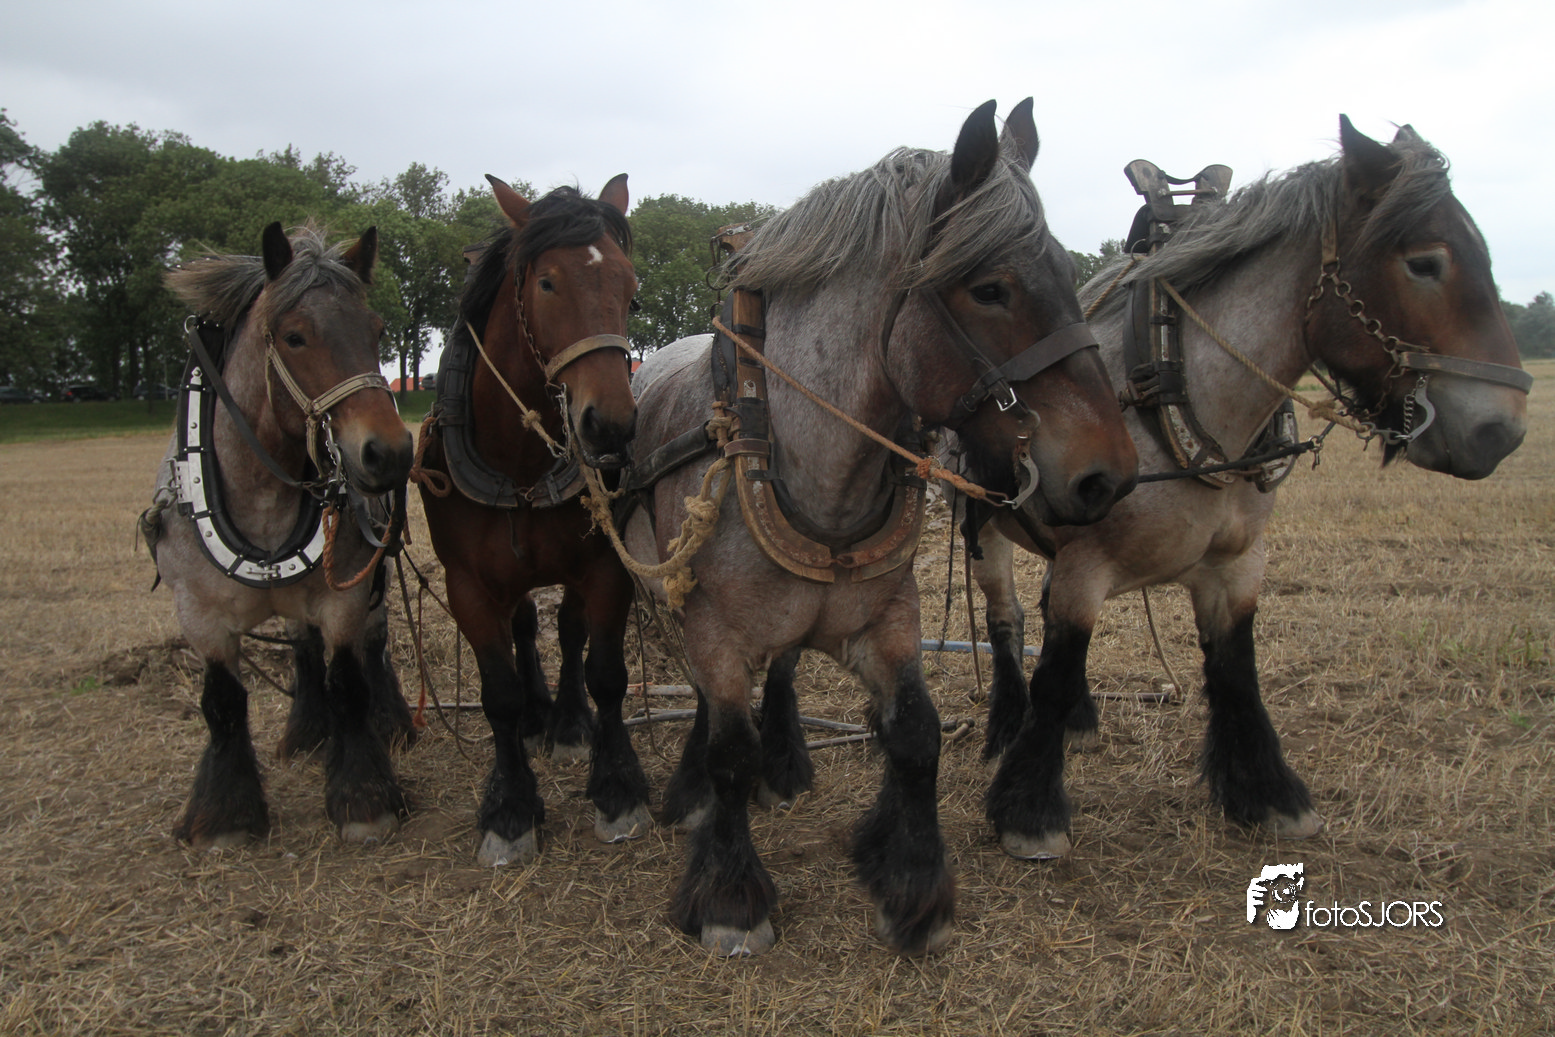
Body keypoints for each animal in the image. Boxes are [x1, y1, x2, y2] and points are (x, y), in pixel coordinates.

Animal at [143, 222, 416, 847]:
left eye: (377, 331)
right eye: (295, 337)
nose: (389, 453)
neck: (262, 494)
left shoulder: (344, 598)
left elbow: (349, 682)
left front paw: (363, 797)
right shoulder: (199, 616)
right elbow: (222, 702)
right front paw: (224, 815)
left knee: (370, 645)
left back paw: (386, 723)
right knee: (303, 647)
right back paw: (307, 733)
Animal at [415, 174, 648, 868]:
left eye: (630, 287)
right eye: (547, 282)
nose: (611, 427)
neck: (519, 461)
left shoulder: (605, 566)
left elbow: (606, 673)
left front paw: (616, 787)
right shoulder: (466, 584)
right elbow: (497, 692)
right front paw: (510, 807)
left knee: (567, 631)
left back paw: (566, 722)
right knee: (522, 626)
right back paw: (537, 716)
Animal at [621, 99, 1139, 956]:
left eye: (1071, 274)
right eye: (990, 288)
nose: (1109, 475)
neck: (802, 462)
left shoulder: (889, 620)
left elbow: (917, 733)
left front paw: (911, 882)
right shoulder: (715, 630)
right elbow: (729, 749)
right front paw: (730, 894)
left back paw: (786, 766)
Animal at [966, 115, 1530, 861]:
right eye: (1425, 261)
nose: (1501, 432)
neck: (1177, 394)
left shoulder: (1236, 564)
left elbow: (1237, 671)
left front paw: (1267, 793)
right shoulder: (1086, 565)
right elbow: (1054, 668)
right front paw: (1028, 808)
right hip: (983, 523)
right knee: (1004, 616)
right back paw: (1007, 722)